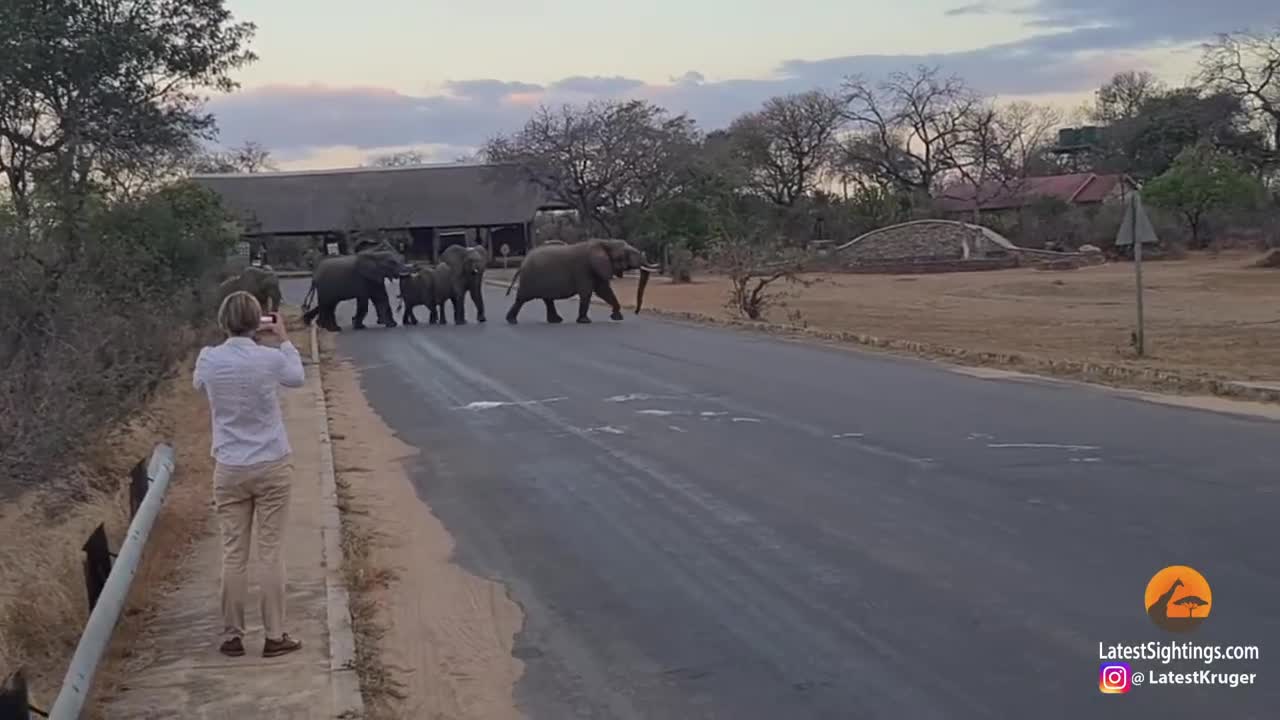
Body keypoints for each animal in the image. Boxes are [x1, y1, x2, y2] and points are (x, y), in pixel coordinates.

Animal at [504, 238, 657, 324]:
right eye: (627, 255)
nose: (636, 312)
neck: (605, 243)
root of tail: (522, 263)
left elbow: (604, 291)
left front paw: (617, 318)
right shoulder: (584, 268)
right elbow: (587, 293)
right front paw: (585, 322)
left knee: (547, 300)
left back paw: (556, 321)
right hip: (530, 278)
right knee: (522, 299)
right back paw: (511, 321)